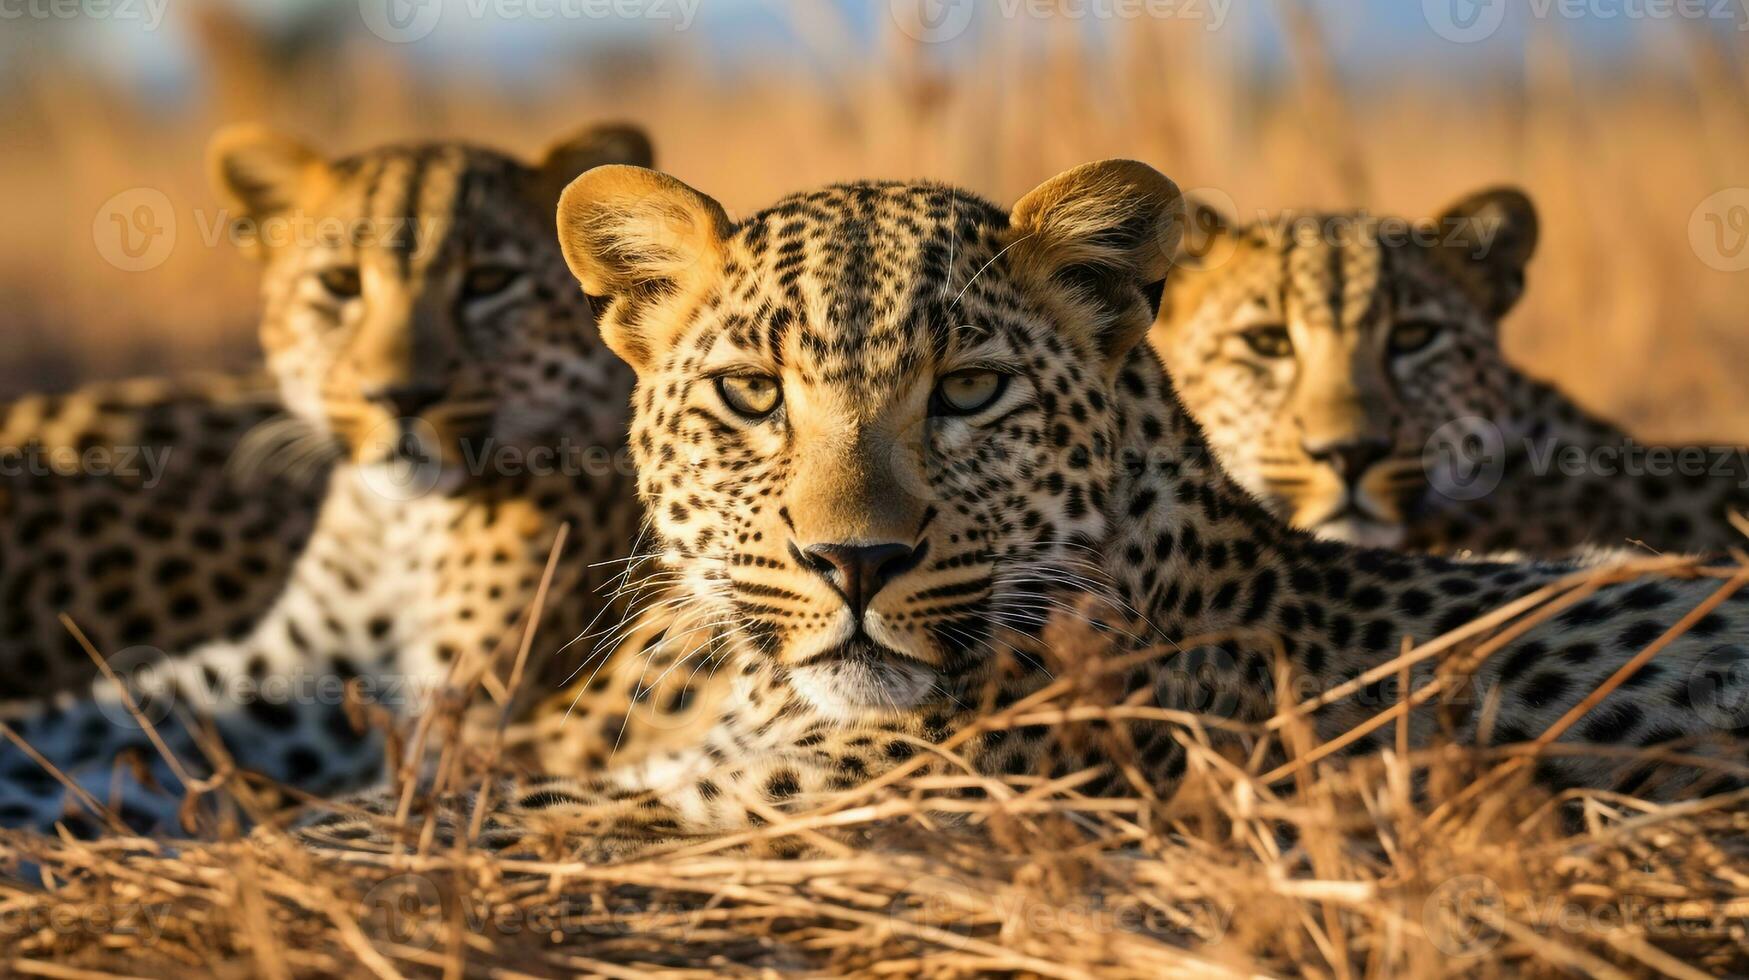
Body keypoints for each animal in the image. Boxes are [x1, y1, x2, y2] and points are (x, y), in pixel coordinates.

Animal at [3, 122, 710, 840]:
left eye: (489, 281)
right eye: (340, 283)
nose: (400, 396)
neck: (397, 525)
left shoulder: (454, 710)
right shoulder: (292, 671)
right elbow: (118, 716)